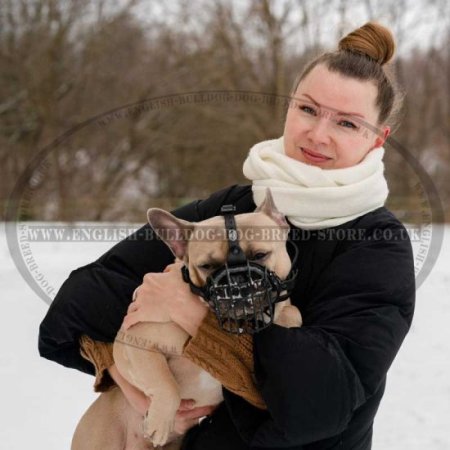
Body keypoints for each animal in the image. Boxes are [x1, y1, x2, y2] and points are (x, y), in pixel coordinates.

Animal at [71, 191, 302, 450]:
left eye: (260, 255)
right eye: (206, 266)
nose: (237, 287)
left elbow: (293, 312)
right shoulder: (136, 343)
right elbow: (166, 384)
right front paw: (160, 423)